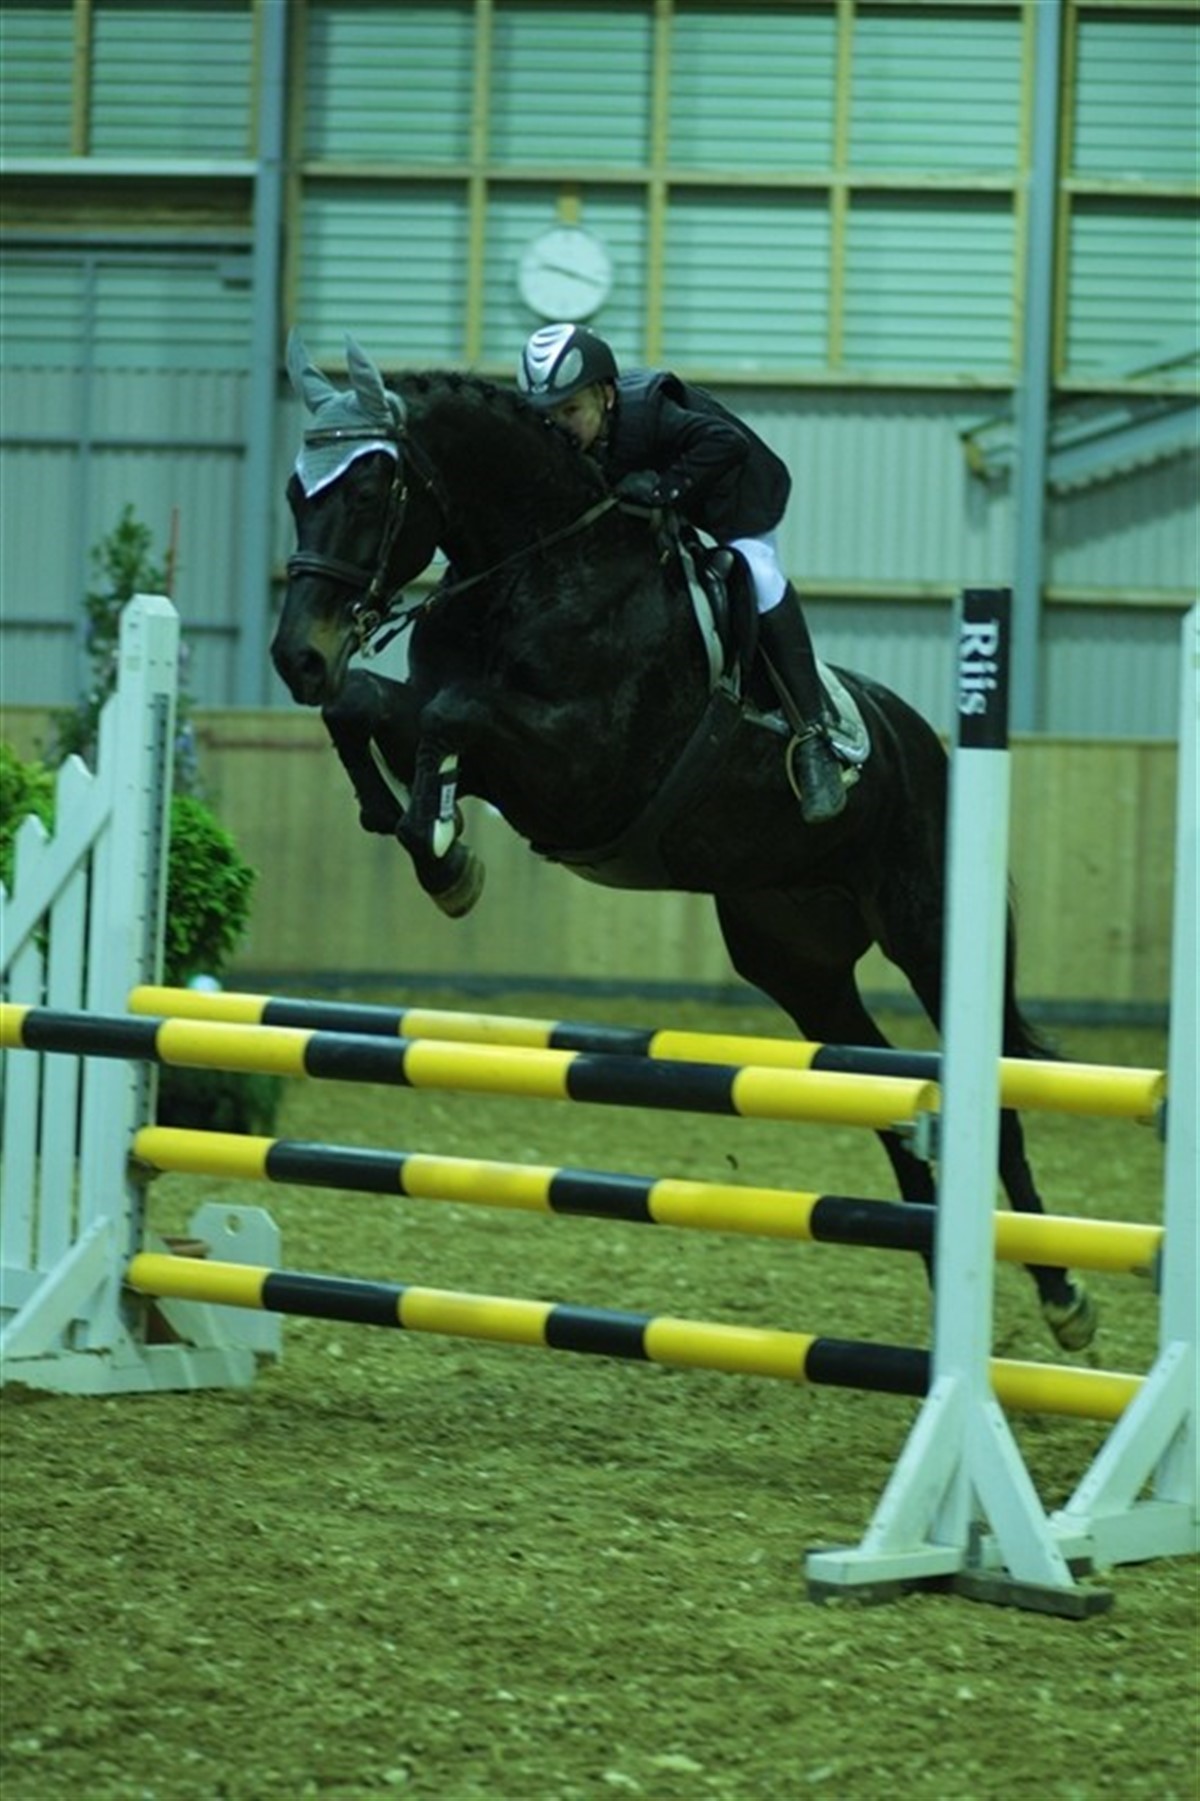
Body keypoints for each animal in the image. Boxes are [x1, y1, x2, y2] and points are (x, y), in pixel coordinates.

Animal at [271, 332, 1096, 1354]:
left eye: (370, 488)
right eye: (298, 491)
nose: (296, 656)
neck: (537, 566)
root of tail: (927, 743)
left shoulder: (582, 767)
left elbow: (451, 715)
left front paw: (444, 846)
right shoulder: (455, 723)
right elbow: (371, 707)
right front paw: (424, 835)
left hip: (929, 931)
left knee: (999, 1094)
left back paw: (1063, 1294)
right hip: (798, 963)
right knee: (889, 1101)